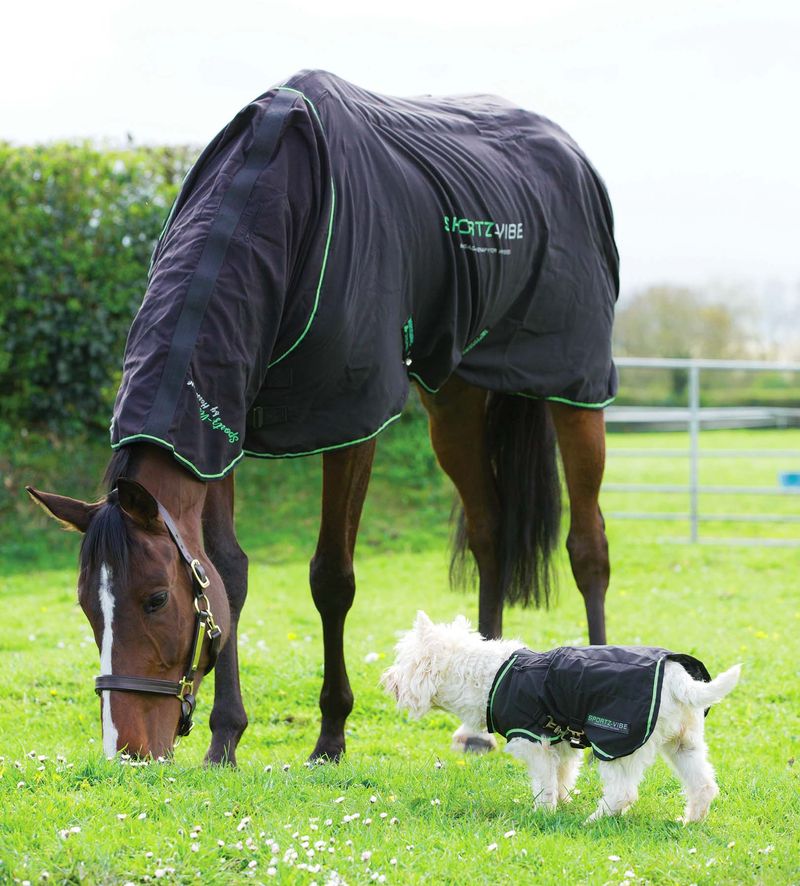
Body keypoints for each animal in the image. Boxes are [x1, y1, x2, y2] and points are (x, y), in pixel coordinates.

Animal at [27, 71, 617, 763]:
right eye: (87, 608)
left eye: (155, 598)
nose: (128, 750)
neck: (279, 204)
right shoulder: (221, 432)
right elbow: (228, 576)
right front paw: (225, 738)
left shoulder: (351, 419)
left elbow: (331, 578)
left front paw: (330, 735)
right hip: (455, 399)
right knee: (490, 533)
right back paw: (477, 723)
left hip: (574, 388)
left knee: (589, 545)